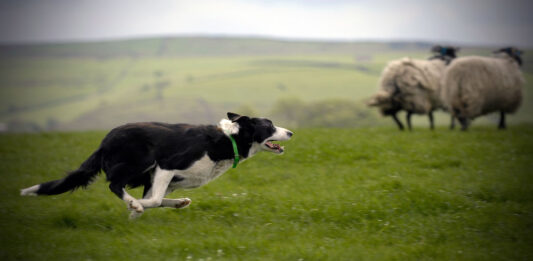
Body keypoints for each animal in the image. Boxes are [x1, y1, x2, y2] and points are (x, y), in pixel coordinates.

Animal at [20, 112, 294, 216]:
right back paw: (132, 203)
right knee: (114, 185)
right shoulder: (166, 166)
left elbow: (157, 199)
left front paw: (175, 203)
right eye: (269, 126)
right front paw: (135, 208)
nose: (291, 132)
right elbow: (152, 201)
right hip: (140, 160)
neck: (229, 140)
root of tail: (105, 141)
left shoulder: (166, 179)